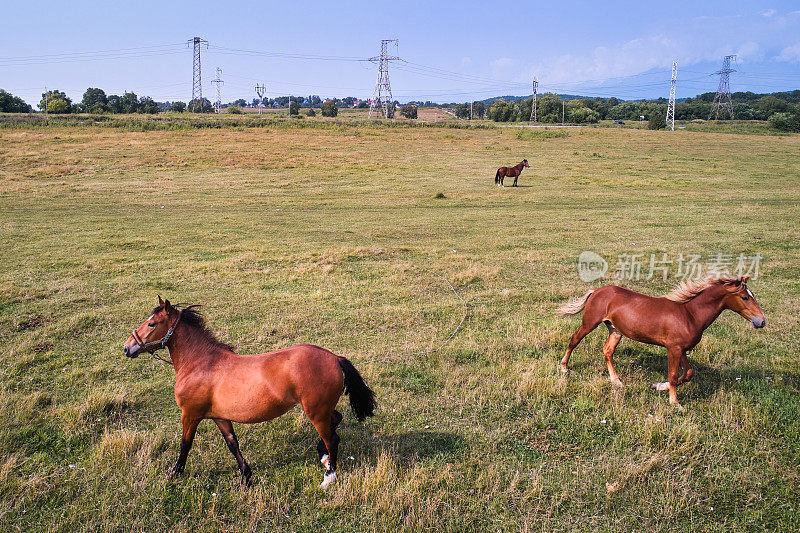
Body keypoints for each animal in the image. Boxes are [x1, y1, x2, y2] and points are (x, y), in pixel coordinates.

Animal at [122, 298, 378, 488]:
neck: (201, 364)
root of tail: (334, 358)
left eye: (152, 324)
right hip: (322, 409)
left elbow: (186, 445)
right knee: (336, 422)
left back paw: (328, 477)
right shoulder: (219, 417)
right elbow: (232, 444)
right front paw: (246, 476)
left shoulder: (190, 415)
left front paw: (175, 473)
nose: (127, 348)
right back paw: (323, 457)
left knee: (331, 438)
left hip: (315, 412)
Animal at [556, 274, 764, 408]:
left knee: (607, 351)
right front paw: (675, 403)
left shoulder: (681, 349)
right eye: (745, 297)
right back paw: (564, 367)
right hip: (590, 322)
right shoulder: (673, 348)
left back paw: (617, 382)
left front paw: (658, 386)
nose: (761, 321)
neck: (690, 315)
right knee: (574, 339)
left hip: (615, 330)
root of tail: (597, 290)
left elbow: (687, 373)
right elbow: (673, 375)